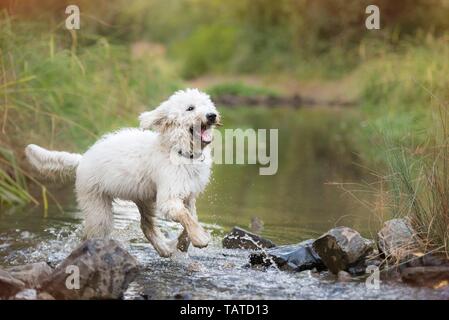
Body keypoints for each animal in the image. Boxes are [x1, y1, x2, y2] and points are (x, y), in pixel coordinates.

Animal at [25, 88, 220, 258]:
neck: (178, 150)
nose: (212, 115)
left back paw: (164, 249)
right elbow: (186, 217)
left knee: (146, 226)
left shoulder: (188, 195)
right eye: (190, 108)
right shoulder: (169, 197)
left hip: (143, 197)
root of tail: (82, 159)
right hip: (97, 207)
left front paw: (183, 242)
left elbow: (191, 216)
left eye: (207, 105)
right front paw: (200, 238)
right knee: (90, 235)